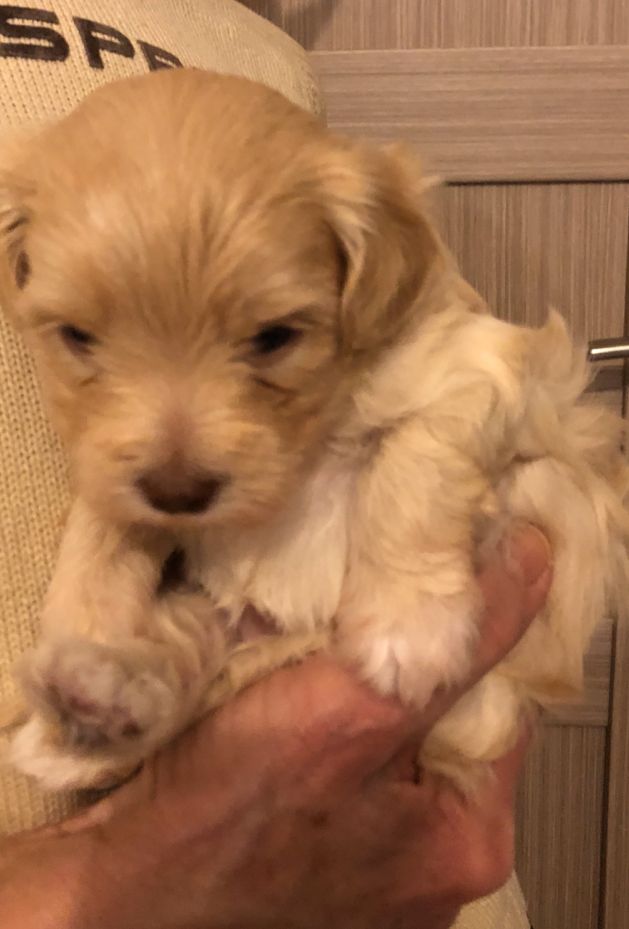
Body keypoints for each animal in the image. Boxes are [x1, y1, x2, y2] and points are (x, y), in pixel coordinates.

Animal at [0, 68, 627, 792]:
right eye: (77, 337)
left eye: (275, 337)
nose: (179, 493)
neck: (310, 438)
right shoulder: (116, 468)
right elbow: (100, 528)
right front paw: (83, 626)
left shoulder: (480, 367)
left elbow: (413, 462)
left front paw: (408, 624)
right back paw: (95, 693)